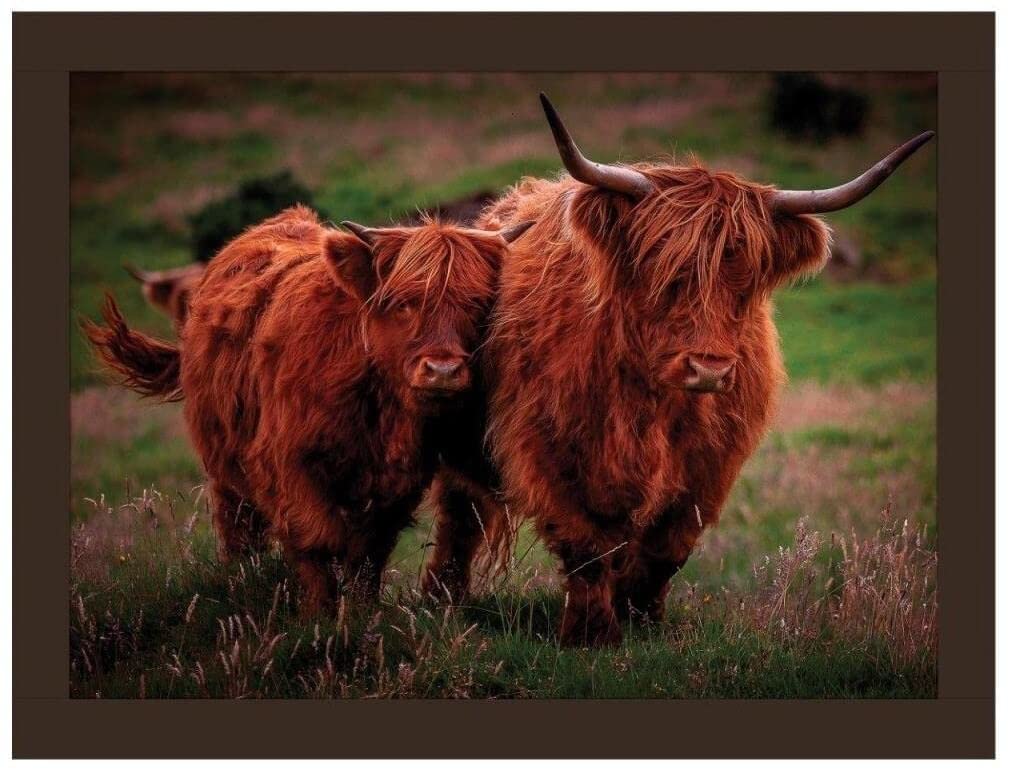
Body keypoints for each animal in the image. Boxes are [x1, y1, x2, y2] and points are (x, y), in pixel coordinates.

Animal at [85, 205, 533, 613]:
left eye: (476, 305)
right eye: (404, 303)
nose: (443, 371)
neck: (375, 406)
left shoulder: (398, 484)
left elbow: (370, 553)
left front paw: (362, 614)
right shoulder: (291, 466)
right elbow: (317, 542)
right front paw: (320, 616)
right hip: (223, 465)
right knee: (238, 528)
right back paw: (240, 580)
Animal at [426, 94, 934, 646]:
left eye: (747, 282)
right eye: (664, 272)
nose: (708, 367)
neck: (651, 399)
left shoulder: (709, 467)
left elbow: (667, 549)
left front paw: (644, 622)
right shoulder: (547, 448)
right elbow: (586, 546)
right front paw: (592, 634)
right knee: (458, 521)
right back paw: (441, 604)